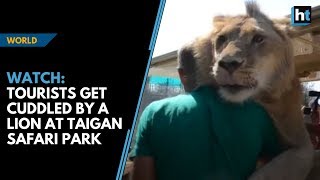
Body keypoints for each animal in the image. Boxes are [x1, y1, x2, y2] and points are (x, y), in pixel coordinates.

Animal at [178, 1, 318, 180]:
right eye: (221, 39)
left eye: (258, 38)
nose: (228, 63)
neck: (263, 99)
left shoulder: (303, 145)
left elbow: (268, 173)